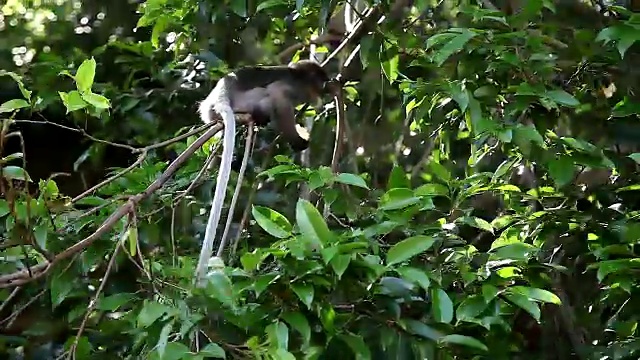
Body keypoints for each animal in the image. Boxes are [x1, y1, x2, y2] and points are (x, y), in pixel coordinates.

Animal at [194, 62, 336, 286]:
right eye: (320, 81)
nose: (325, 88)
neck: (297, 77)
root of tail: (220, 96)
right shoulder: (290, 88)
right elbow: (279, 96)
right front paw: (299, 141)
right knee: (268, 97)